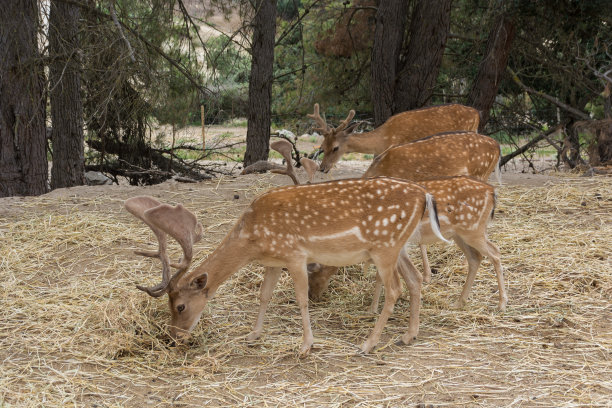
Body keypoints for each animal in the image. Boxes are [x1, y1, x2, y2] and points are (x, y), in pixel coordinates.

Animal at [125, 177, 450, 356]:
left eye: (180, 306)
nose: (173, 338)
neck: (253, 238)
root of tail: (425, 195)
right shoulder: (274, 261)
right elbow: (264, 295)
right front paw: (253, 336)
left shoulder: (295, 254)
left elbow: (302, 299)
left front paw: (306, 345)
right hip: (399, 246)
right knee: (415, 280)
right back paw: (408, 335)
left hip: (385, 247)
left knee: (395, 289)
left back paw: (368, 344)